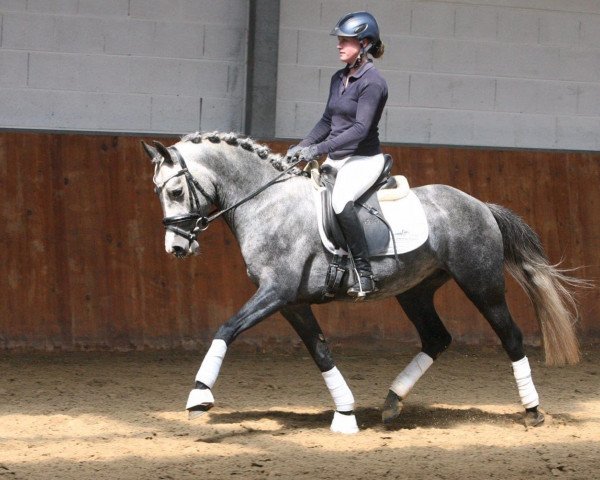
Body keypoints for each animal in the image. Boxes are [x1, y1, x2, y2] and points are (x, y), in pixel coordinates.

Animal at [142, 131, 580, 436]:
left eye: (176, 191)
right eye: (159, 192)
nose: (176, 247)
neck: (267, 203)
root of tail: (479, 205)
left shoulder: (275, 292)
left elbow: (227, 328)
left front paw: (199, 395)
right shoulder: (291, 302)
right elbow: (320, 351)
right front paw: (345, 414)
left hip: (481, 285)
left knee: (511, 337)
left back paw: (533, 411)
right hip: (415, 291)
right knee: (437, 338)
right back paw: (391, 402)